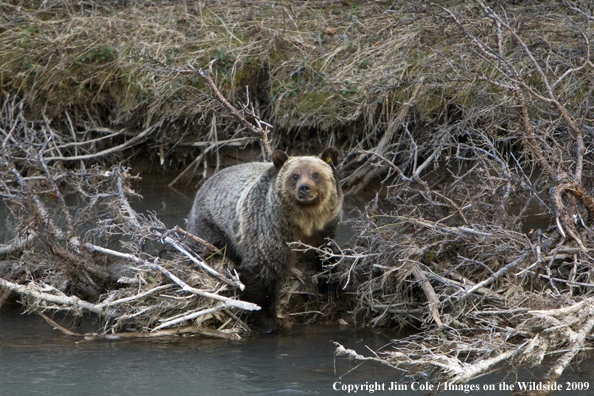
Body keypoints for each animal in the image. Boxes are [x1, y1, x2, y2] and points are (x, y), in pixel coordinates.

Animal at [185, 147, 342, 332]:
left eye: (315, 174)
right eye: (295, 175)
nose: (304, 188)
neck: (305, 222)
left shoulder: (325, 229)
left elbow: (328, 253)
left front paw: (331, 287)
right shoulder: (270, 229)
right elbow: (261, 272)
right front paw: (267, 321)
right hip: (211, 227)